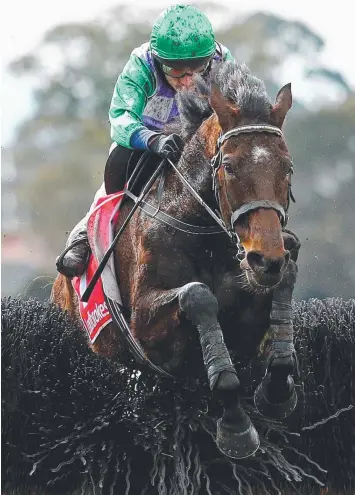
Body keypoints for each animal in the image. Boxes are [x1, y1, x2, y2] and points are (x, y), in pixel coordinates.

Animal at [52, 62, 302, 462]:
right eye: (229, 166)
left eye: (288, 167)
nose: (266, 258)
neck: (200, 228)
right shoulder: (145, 333)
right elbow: (197, 295)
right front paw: (235, 422)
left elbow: (284, 281)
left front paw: (277, 387)